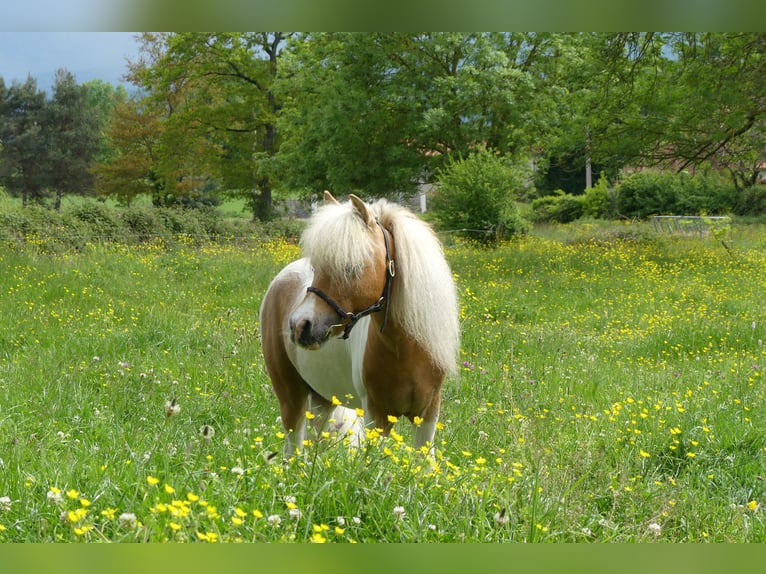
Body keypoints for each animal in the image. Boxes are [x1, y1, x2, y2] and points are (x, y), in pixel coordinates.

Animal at [259, 191, 460, 458]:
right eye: (316, 269)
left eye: (351, 268)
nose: (300, 326)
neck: (404, 348)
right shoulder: (377, 415)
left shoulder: (427, 413)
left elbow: (424, 461)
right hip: (291, 395)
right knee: (294, 450)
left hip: (323, 399)